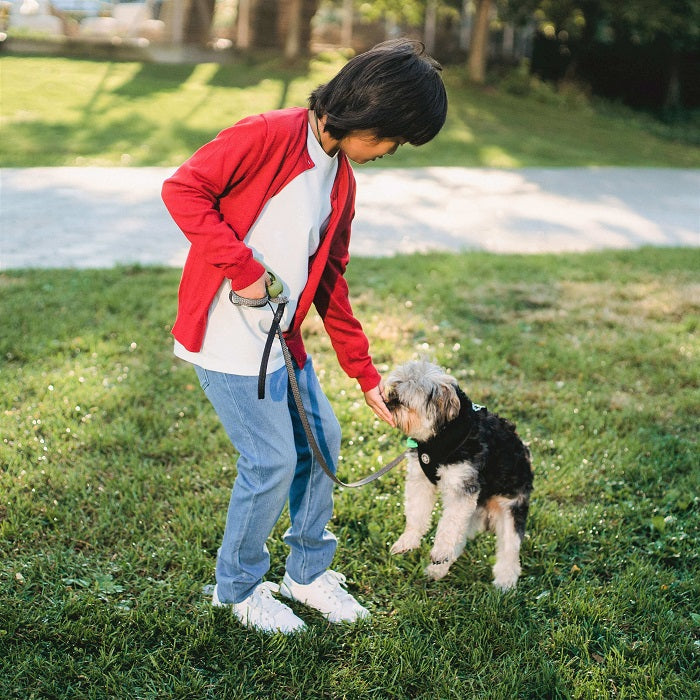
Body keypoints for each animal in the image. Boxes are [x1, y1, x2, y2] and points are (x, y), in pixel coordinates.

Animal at [386, 360, 532, 592]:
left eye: (403, 400)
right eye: (393, 391)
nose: (388, 401)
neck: (440, 436)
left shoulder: (462, 489)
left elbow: (447, 525)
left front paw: (438, 551)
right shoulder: (420, 480)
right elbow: (417, 514)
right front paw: (408, 540)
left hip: (511, 508)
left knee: (509, 548)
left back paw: (505, 583)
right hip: (470, 514)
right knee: (459, 540)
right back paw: (439, 569)